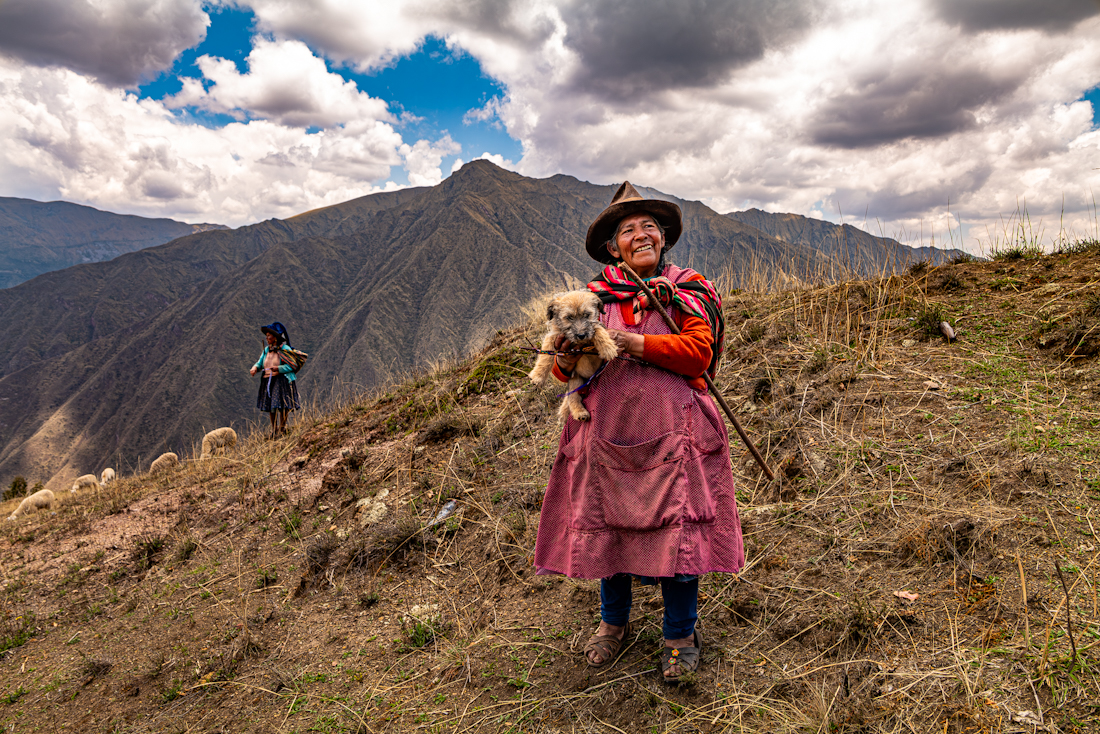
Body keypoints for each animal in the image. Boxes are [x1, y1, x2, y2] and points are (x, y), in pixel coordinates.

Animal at [525, 290, 620, 422]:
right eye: (569, 317)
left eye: (587, 315)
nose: (581, 335)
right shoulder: (553, 336)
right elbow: (545, 357)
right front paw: (538, 376)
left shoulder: (595, 327)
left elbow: (598, 331)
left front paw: (608, 348)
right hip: (576, 381)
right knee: (572, 399)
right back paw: (580, 413)